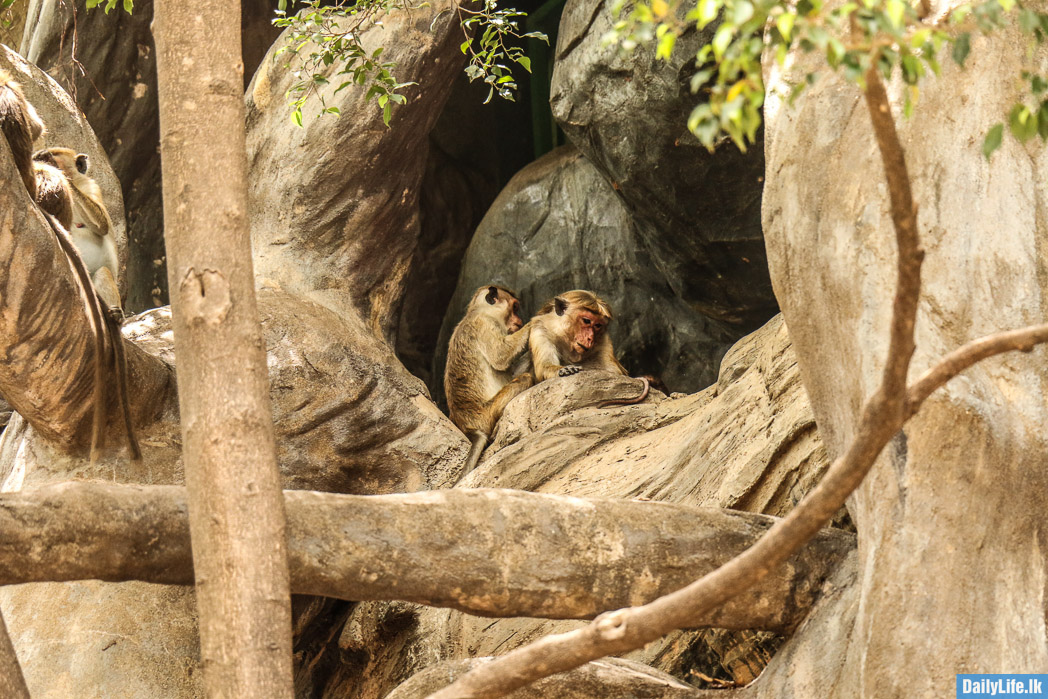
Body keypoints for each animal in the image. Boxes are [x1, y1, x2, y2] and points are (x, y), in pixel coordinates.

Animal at [446, 287, 536, 477]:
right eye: (514, 308)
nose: (519, 320)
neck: (480, 311)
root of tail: (470, 427)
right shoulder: (485, 325)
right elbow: (501, 356)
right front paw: (537, 320)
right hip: (488, 411)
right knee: (524, 378)